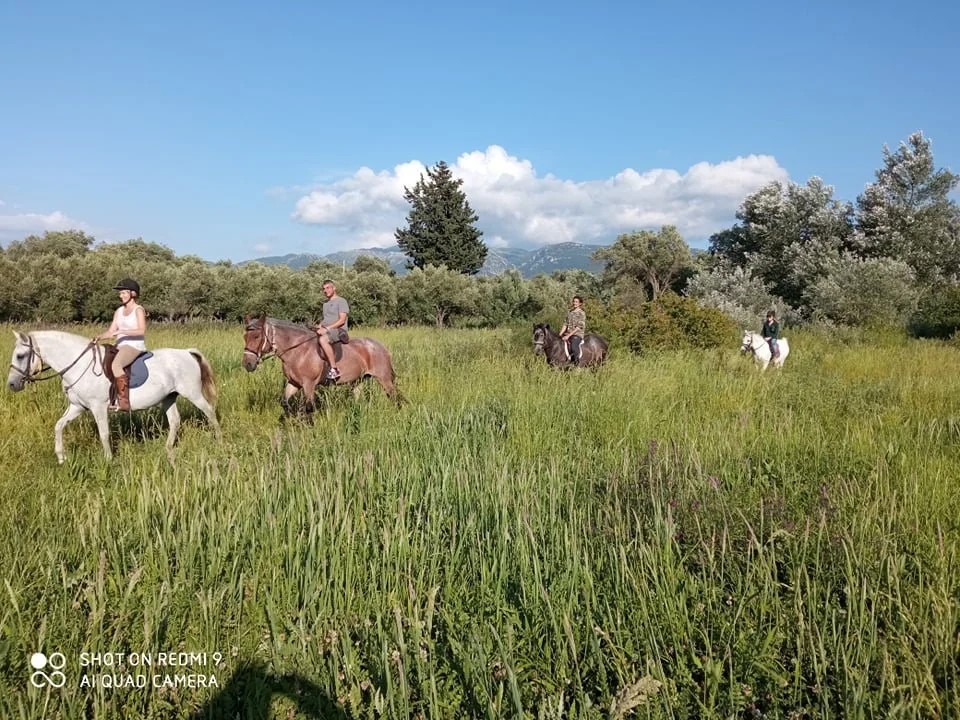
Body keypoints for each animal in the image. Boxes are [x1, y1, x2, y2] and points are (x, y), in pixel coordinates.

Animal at [7, 330, 220, 464]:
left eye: (20, 355)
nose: (11, 384)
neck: (79, 364)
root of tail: (186, 352)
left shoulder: (98, 407)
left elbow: (104, 434)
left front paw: (108, 461)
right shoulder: (77, 406)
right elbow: (58, 426)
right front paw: (61, 457)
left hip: (192, 393)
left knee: (210, 412)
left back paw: (219, 441)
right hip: (168, 397)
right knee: (175, 420)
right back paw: (167, 448)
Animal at [242, 314, 401, 419]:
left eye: (256, 337)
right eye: (245, 337)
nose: (247, 364)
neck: (298, 350)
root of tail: (381, 346)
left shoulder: (309, 384)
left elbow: (309, 407)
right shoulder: (294, 383)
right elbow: (285, 402)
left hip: (384, 378)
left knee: (394, 397)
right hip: (358, 380)